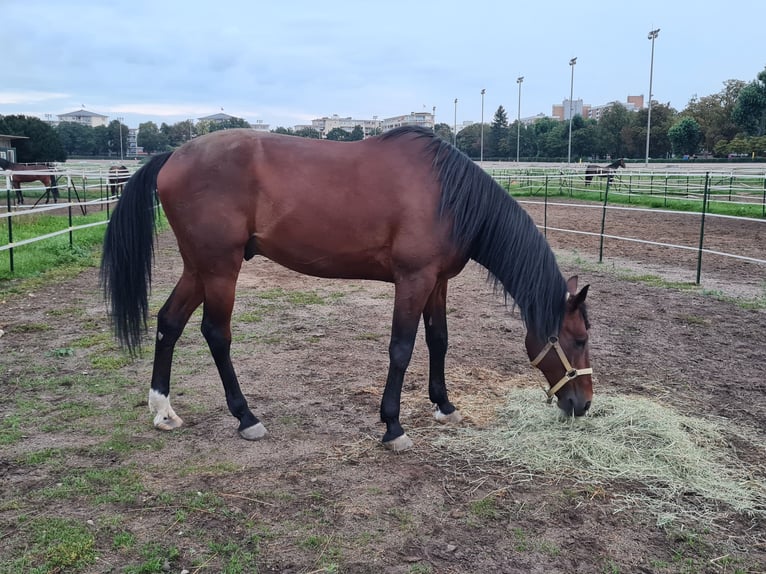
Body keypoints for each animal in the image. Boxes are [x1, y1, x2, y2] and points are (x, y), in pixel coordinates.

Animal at [100, 127, 592, 454]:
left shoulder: (437, 283)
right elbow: (401, 348)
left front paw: (445, 405)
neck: (449, 196)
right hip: (221, 268)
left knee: (169, 322)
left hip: (198, 268)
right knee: (216, 334)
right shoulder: (413, 280)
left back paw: (163, 410)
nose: (582, 405)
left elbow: (438, 340)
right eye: (579, 339)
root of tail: (173, 156)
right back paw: (246, 418)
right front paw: (393, 427)